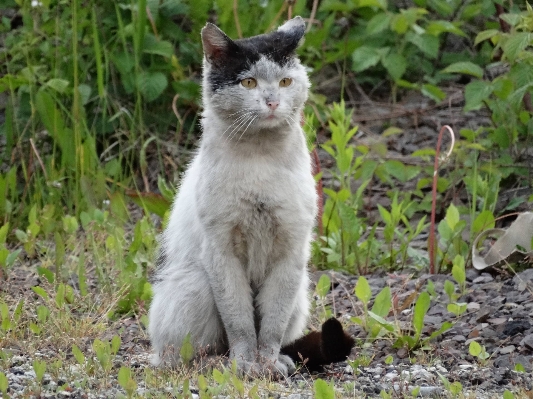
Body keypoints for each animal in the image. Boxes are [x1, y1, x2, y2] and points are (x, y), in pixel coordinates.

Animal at [148, 16, 354, 378]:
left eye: (285, 81)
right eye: (248, 83)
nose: (272, 102)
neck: (260, 159)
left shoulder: (290, 253)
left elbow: (271, 324)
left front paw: (268, 364)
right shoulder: (222, 254)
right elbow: (240, 322)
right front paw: (245, 364)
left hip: (300, 290)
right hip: (196, 284)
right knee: (184, 354)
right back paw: (216, 363)